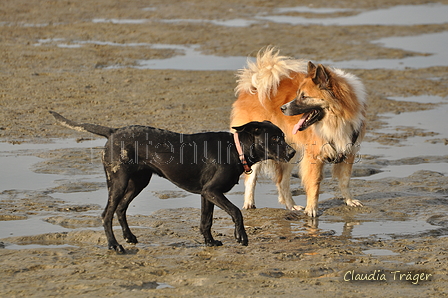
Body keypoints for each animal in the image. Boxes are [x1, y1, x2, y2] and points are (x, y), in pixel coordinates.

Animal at [50, 111, 296, 251]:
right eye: (276, 138)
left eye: (283, 136)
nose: (293, 153)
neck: (235, 149)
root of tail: (113, 131)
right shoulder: (213, 192)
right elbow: (236, 211)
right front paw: (241, 236)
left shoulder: (207, 194)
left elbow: (206, 221)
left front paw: (210, 242)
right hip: (118, 182)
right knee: (106, 214)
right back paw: (114, 245)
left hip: (138, 182)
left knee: (120, 209)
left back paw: (129, 237)